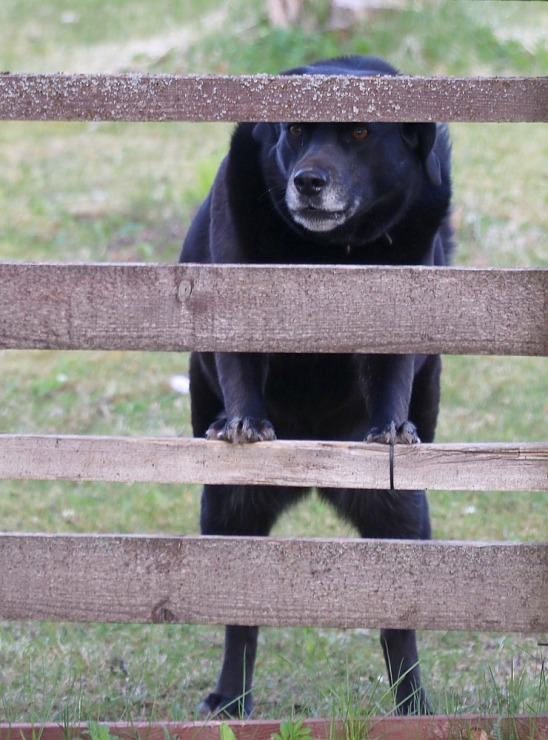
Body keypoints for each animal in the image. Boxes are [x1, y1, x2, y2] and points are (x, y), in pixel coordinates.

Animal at [180, 56, 450, 716]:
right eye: (297, 130)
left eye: (359, 133)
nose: (306, 181)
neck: (330, 252)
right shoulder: (237, 287)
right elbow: (241, 359)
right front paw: (245, 420)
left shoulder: (404, 299)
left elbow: (390, 367)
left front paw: (389, 429)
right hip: (228, 506)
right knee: (240, 616)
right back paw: (231, 700)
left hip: (400, 512)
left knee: (399, 622)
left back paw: (413, 705)